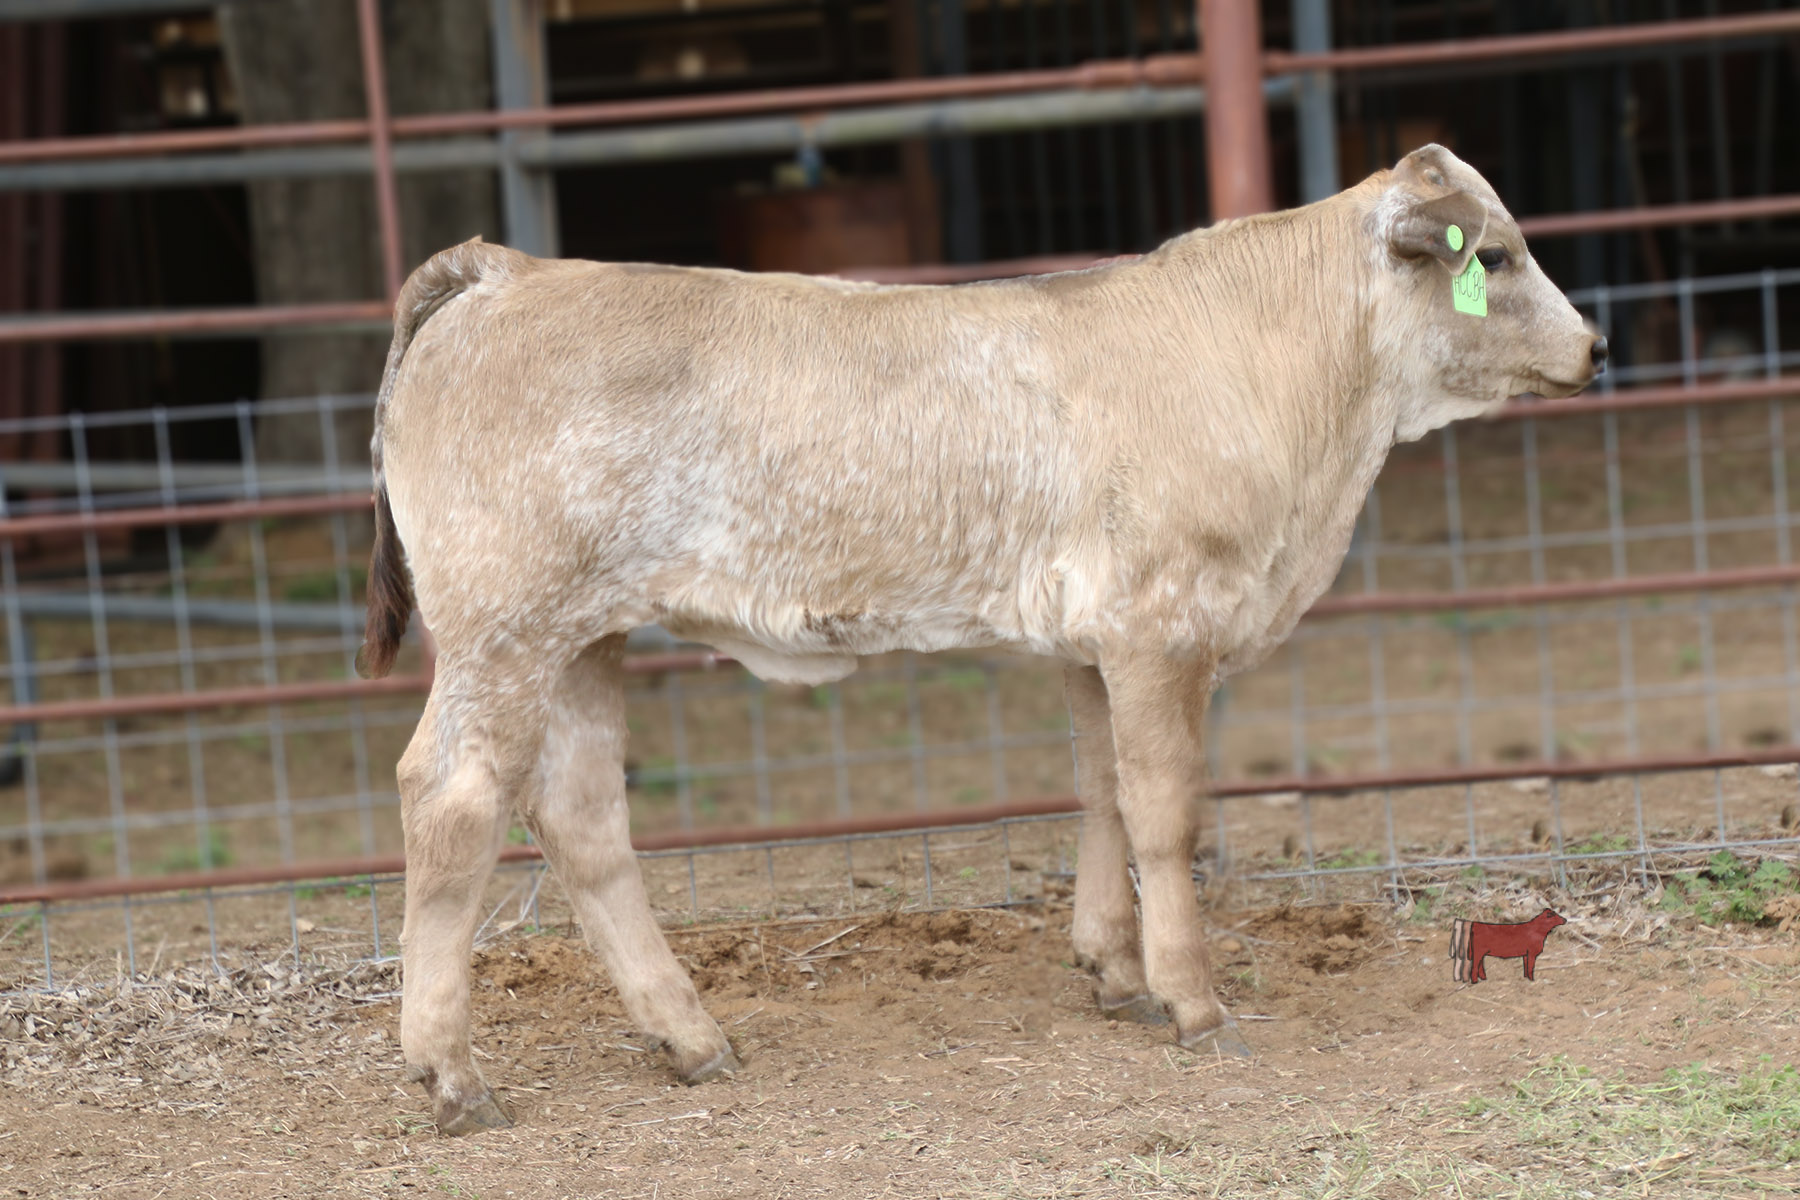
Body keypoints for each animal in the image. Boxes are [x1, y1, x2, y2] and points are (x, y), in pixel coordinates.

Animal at [356, 144, 1606, 1134]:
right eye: (1495, 256)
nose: (1595, 347)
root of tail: (510, 270)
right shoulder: (1160, 630)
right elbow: (1165, 814)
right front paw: (1195, 1003)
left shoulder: (1094, 649)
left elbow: (1103, 794)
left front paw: (1116, 971)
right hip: (506, 632)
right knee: (451, 800)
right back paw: (453, 1075)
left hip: (585, 641)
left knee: (580, 819)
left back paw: (692, 1039)